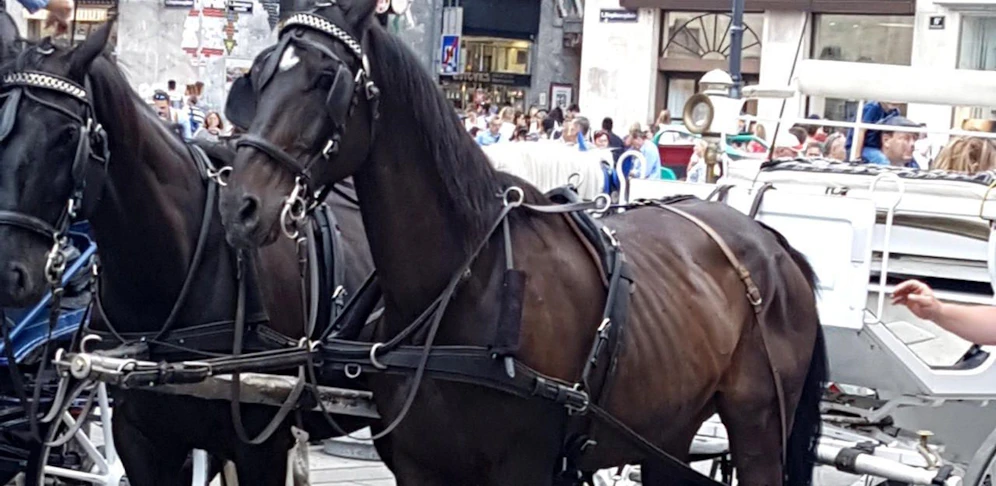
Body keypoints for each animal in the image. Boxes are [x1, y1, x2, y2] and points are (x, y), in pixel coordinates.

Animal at [218, 1, 827, 485]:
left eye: (328, 79)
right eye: (259, 76)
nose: (241, 204)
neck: (466, 282)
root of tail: (773, 244)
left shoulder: (524, 468)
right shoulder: (420, 469)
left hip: (758, 428)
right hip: (670, 433)